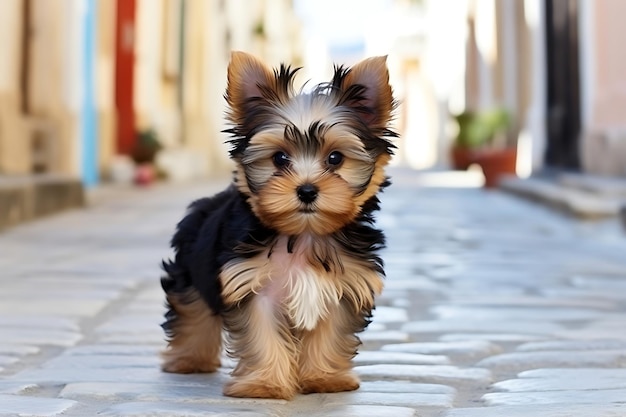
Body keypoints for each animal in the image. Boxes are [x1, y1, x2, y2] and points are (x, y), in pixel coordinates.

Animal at [161, 50, 394, 398]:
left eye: (335, 158)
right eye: (279, 159)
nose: (307, 190)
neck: (305, 235)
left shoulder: (344, 286)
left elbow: (331, 332)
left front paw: (325, 378)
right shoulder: (250, 283)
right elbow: (261, 333)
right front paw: (264, 384)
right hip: (191, 267)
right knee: (192, 307)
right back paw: (190, 359)